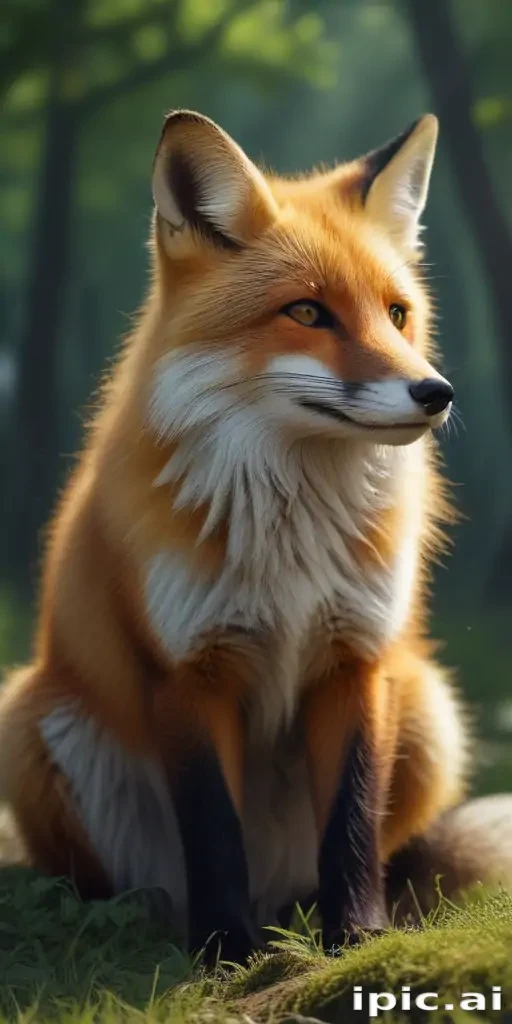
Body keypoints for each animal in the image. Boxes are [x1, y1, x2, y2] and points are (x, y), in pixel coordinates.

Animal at [0, 110, 470, 963]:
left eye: (397, 314)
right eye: (308, 313)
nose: (436, 393)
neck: (289, 539)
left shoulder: (356, 658)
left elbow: (351, 822)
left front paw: (356, 937)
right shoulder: (189, 671)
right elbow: (213, 828)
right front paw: (227, 951)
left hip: (427, 707)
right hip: (29, 723)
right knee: (129, 888)